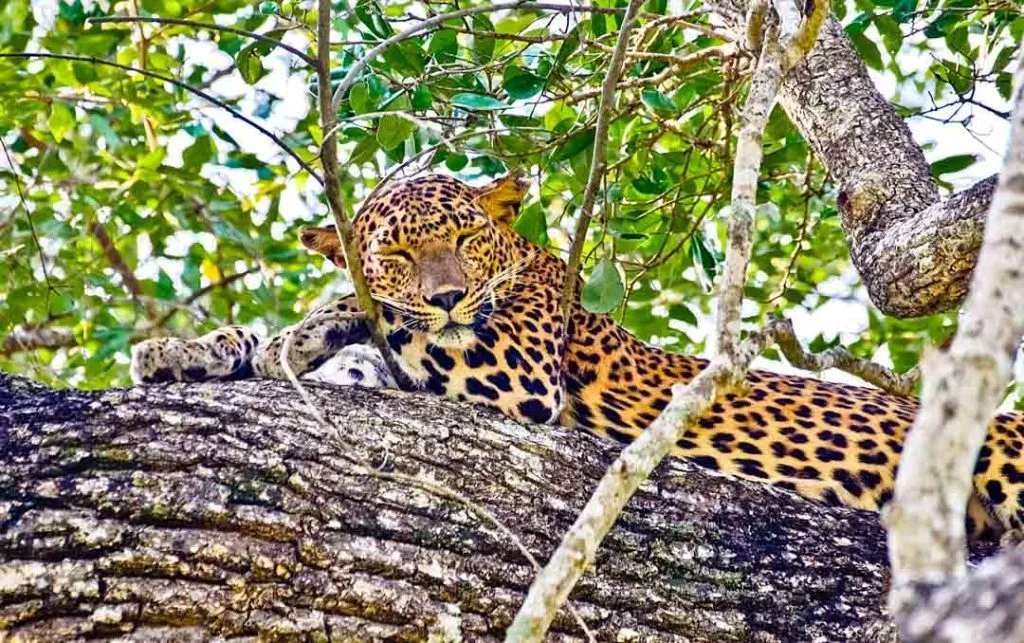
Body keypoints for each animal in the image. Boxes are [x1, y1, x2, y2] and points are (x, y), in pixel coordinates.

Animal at [130, 172, 1024, 540]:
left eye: (464, 239)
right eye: (398, 251)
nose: (448, 295)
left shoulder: (517, 374)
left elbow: (377, 322)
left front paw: (321, 319)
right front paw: (184, 351)